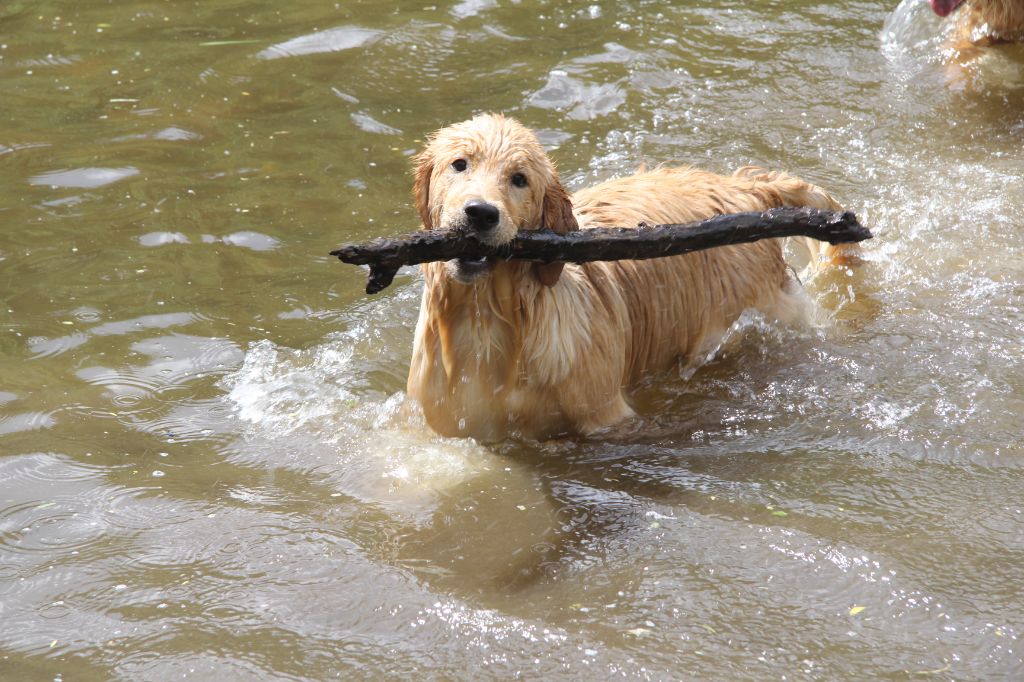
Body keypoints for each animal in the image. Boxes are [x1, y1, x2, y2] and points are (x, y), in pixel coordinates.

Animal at [407, 113, 856, 438]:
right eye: (459, 164)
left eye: (520, 179)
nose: (480, 213)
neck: (487, 322)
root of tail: (748, 189)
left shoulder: (606, 416)